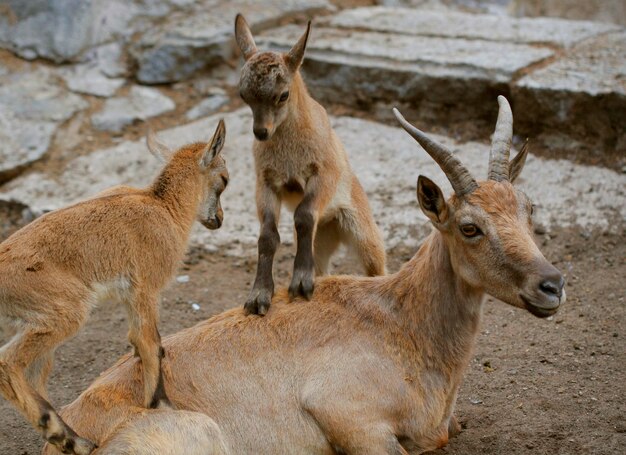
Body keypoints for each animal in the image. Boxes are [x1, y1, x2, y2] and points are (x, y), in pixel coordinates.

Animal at [0, 119, 229, 454]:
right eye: (224, 179)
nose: (218, 219)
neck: (164, 208)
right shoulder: (146, 288)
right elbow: (150, 342)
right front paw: (160, 406)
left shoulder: (130, 297)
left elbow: (138, 342)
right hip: (63, 312)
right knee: (8, 362)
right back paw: (67, 436)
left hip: (38, 325)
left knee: (31, 375)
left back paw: (70, 439)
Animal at [233, 12, 382, 316]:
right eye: (243, 95)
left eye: (283, 94)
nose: (261, 132)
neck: (290, 152)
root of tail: (332, 226)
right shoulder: (266, 182)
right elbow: (267, 235)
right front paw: (258, 297)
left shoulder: (323, 173)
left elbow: (302, 216)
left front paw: (300, 283)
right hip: (322, 242)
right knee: (324, 268)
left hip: (362, 231)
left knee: (378, 265)